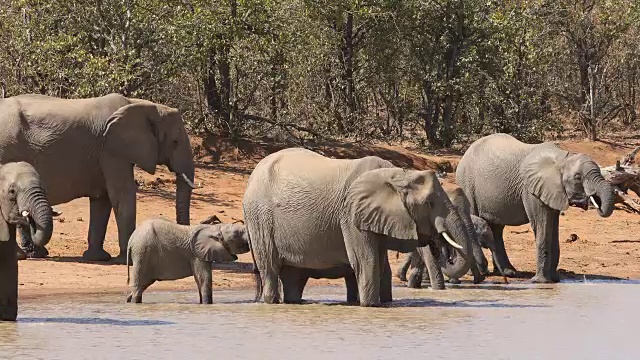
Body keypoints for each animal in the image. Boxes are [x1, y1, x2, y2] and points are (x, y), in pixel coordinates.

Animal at [0, 93, 195, 262]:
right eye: (175, 142)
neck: (142, 104)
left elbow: (103, 198)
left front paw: (97, 258)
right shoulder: (112, 150)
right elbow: (121, 194)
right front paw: (125, 259)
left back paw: (35, 254)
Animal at [242, 146, 478, 306]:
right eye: (429, 203)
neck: (398, 174)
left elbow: (380, 264)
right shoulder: (351, 215)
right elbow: (366, 261)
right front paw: (370, 306)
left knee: (291, 275)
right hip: (260, 218)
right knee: (270, 268)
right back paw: (271, 301)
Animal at [456, 134, 616, 282]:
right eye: (578, 177)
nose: (593, 200)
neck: (562, 158)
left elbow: (553, 228)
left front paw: (555, 280)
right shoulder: (531, 190)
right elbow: (542, 226)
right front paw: (540, 282)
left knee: (496, 229)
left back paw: (509, 273)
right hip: (467, 184)